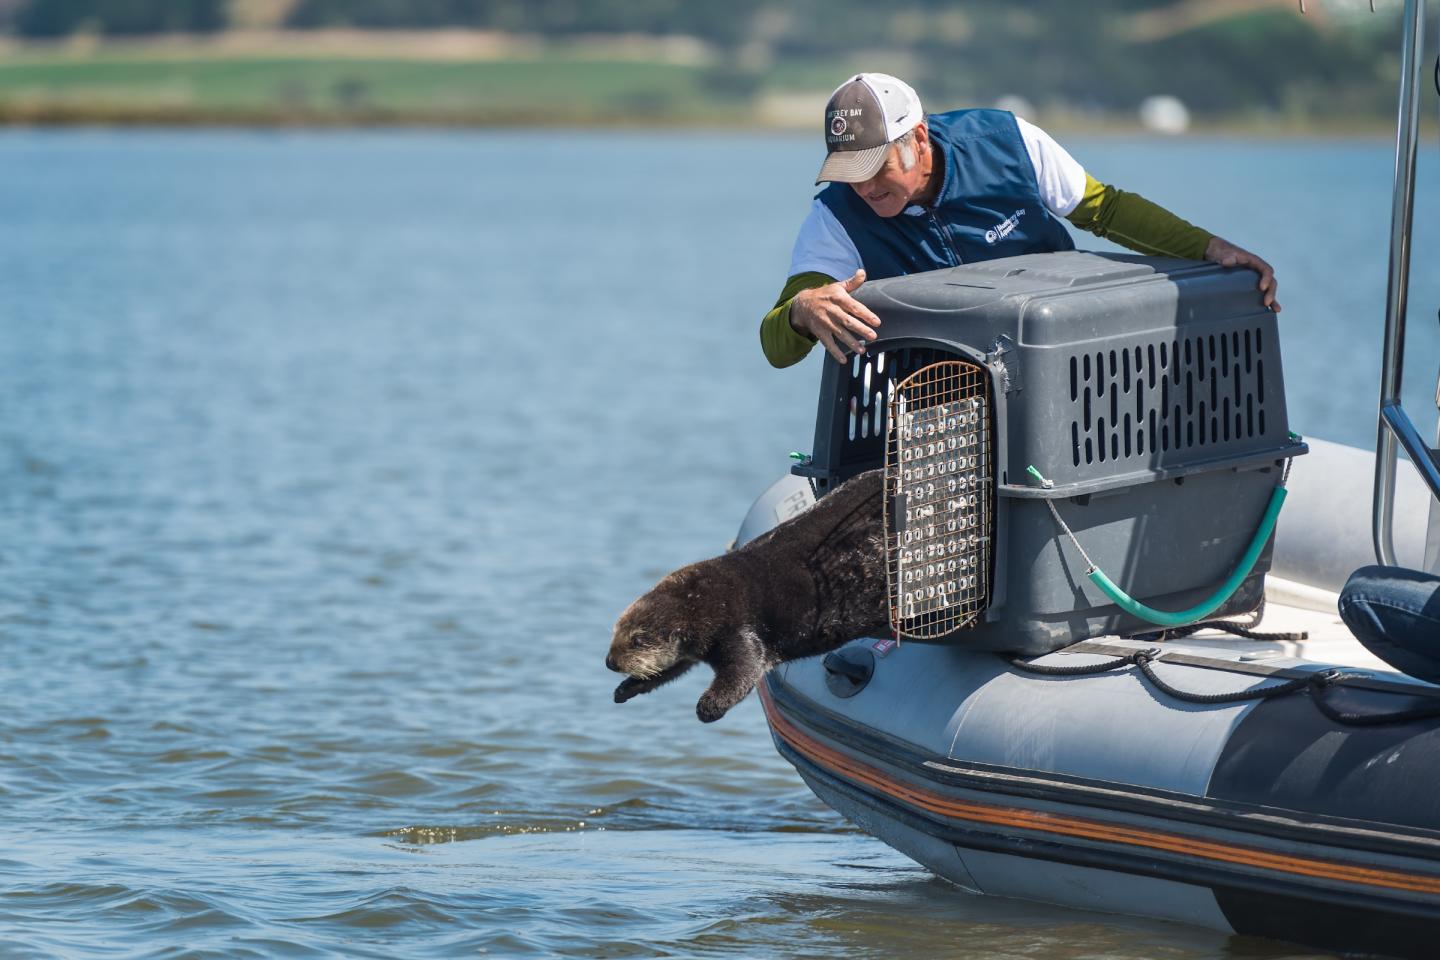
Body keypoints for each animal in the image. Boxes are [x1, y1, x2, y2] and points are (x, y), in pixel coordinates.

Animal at [606, 468, 889, 722]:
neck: (703, 600)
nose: (610, 662)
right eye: (615, 631)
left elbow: (744, 670)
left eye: (637, 640)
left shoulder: (738, 629)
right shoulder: (689, 651)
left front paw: (707, 708)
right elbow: (671, 669)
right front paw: (625, 689)